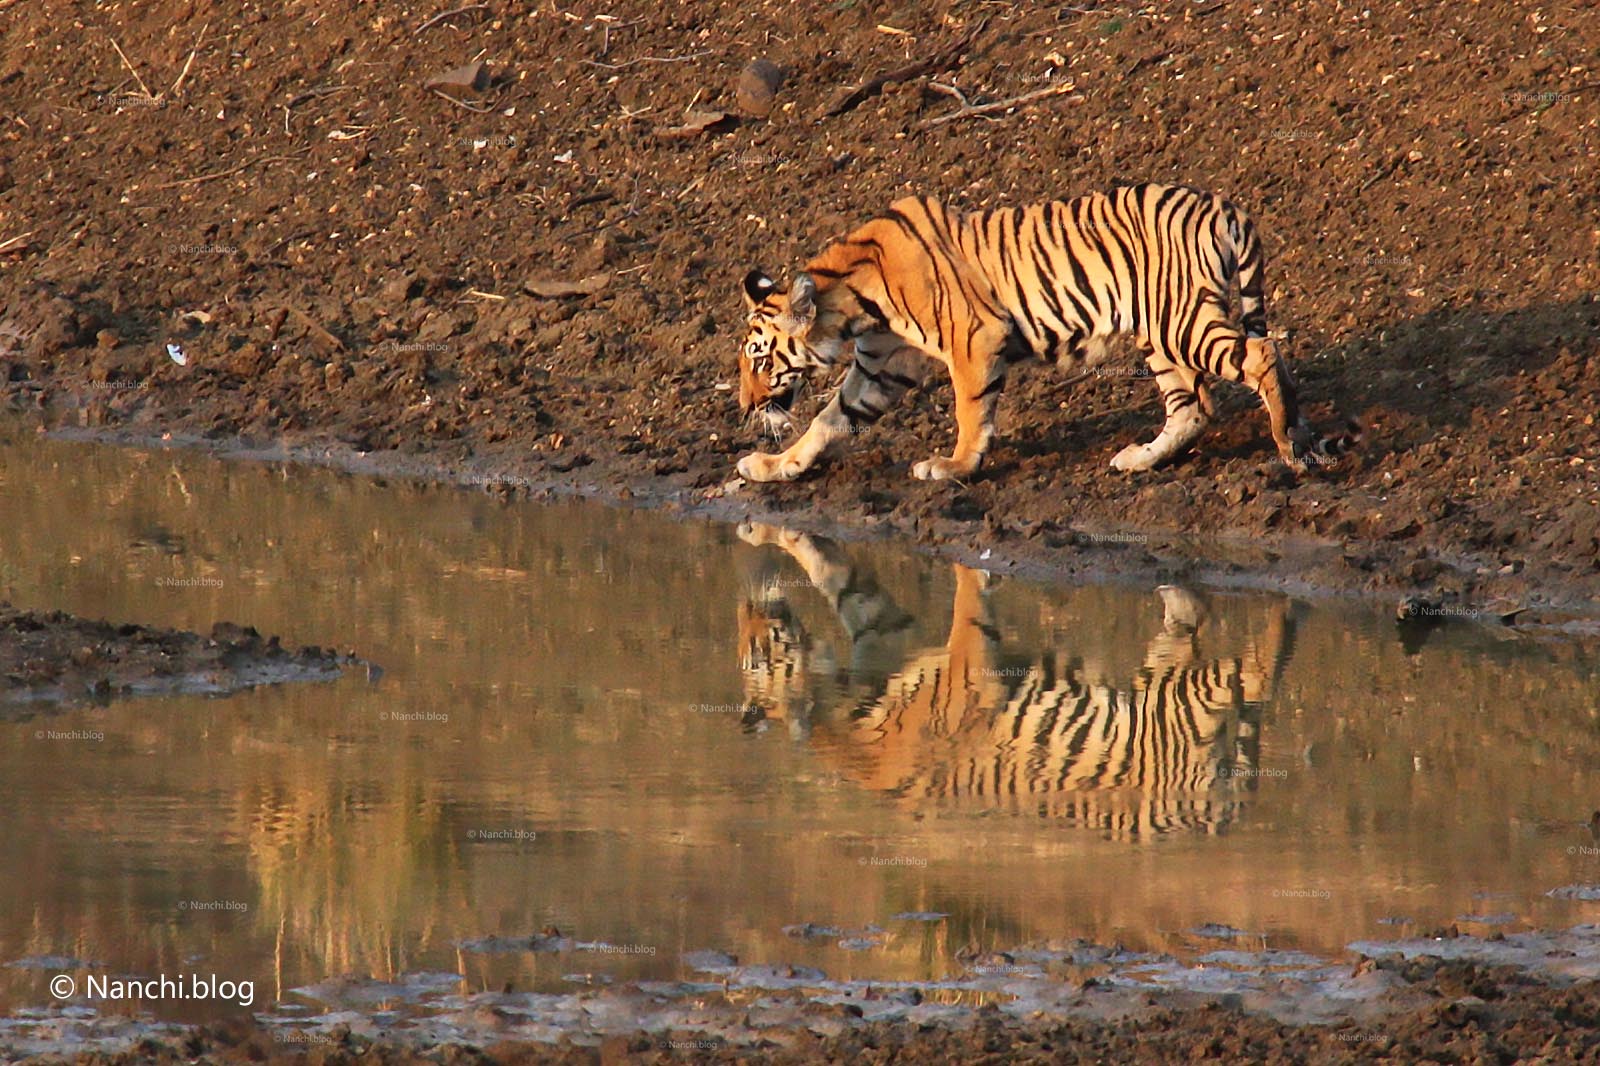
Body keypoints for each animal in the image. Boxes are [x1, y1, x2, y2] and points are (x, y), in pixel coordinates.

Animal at [735, 181, 1352, 483]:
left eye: (761, 361)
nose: (744, 406)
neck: (853, 301)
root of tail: (1223, 206)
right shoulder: (883, 365)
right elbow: (828, 419)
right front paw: (774, 467)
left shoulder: (972, 339)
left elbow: (970, 412)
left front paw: (953, 467)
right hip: (1159, 332)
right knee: (1195, 407)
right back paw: (1141, 459)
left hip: (1181, 321)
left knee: (1262, 353)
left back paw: (1287, 444)